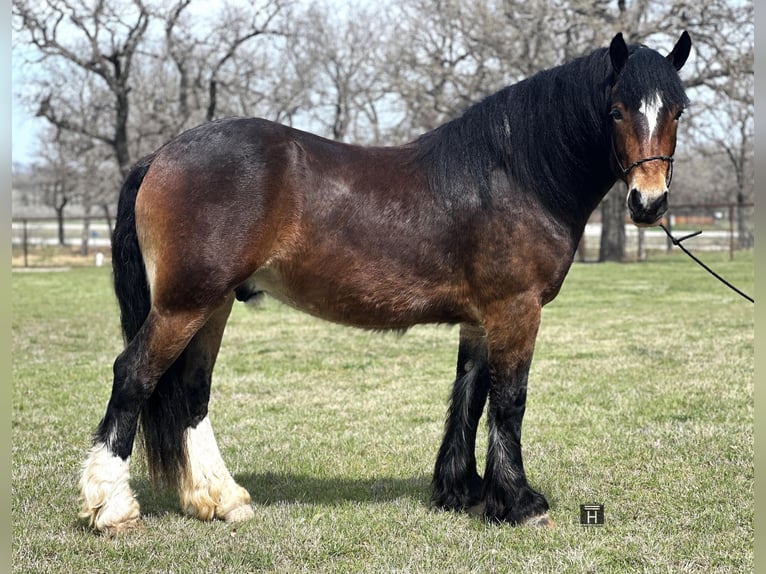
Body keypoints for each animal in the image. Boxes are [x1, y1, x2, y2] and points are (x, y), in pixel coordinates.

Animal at [79, 31, 696, 536]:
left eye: (678, 110)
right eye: (617, 111)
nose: (648, 202)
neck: (513, 174)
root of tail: (162, 154)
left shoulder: (481, 319)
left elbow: (469, 396)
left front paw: (461, 491)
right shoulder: (515, 310)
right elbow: (509, 401)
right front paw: (518, 503)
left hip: (212, 306)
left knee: (190, 393)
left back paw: (221, 500)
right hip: (185, 304)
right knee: (133, 376)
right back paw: (112, 507)